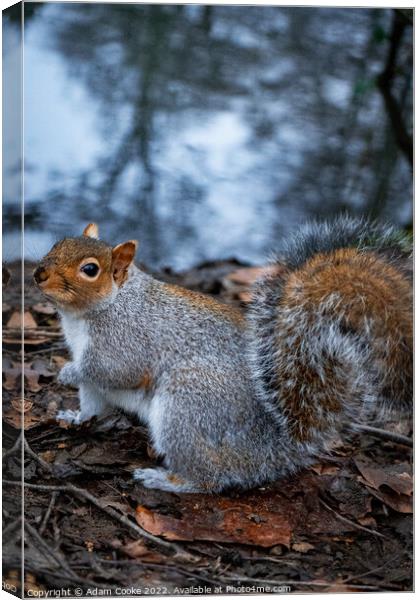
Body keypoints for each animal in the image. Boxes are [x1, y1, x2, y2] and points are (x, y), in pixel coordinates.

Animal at [33, 217, 414, 492]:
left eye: (90, 270)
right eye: (57, 243)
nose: (39, 273)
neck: (103, 307)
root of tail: (275, 448)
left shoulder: (125, 341)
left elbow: (113, 371)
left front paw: (68, 372)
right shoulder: (93, 380)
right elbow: (92, 403)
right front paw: (74, 416)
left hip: (188, 403)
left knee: (209, 480)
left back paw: (167, 481)